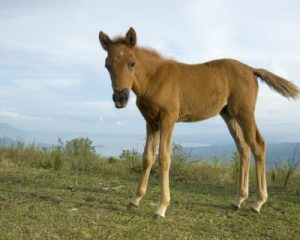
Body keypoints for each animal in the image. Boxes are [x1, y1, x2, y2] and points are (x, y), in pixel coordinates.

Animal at [99, 26, 300, 218]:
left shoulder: (168, 119)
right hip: (229, 115)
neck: (154, 79)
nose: (120, 98)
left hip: (245, 112)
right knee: (243, 148)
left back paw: (258, 202)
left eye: (131, 63)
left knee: (258, 145)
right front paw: (135, 200)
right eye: (107, 66)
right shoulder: (151, 122)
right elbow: (147, 157)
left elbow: (164, 158)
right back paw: (238, 200)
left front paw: (161, 207)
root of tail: (251, 69)